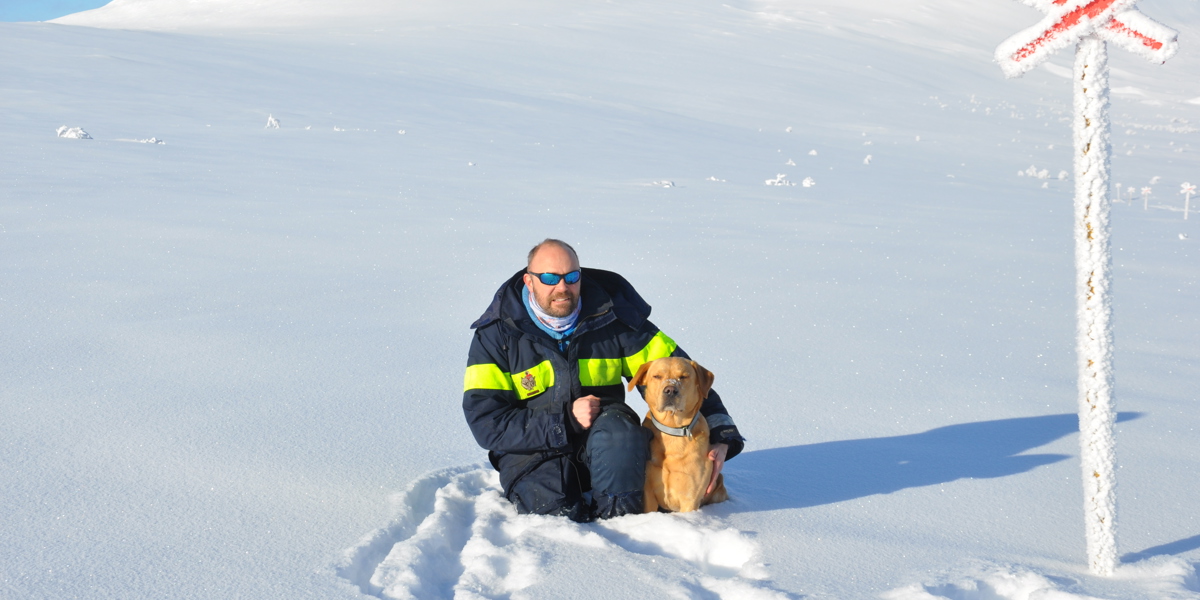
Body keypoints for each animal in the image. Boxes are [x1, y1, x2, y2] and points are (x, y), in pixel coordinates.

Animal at [633, 357, 724, 513]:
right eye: (657, 376)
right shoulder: (648, 492)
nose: (670, 390)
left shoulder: (690, 497)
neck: (672, 430)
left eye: (684, 376)